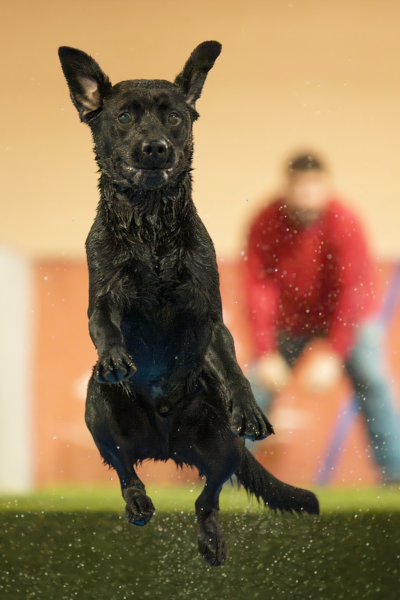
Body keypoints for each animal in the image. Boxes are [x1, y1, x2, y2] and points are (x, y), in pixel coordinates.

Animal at [57, 42, 318, 568]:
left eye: (175, 117)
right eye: (123, 117)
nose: (156, 147)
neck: (150, 224)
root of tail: (164, 446)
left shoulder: (209, 315)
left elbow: (233, 364)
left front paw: (250, 405)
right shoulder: (103, 300)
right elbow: (105, 325)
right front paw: (115, 355)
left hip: (224, 443)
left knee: (208, 497)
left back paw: (212, 539)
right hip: (97, 411)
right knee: (124, 468)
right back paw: (139, 502)